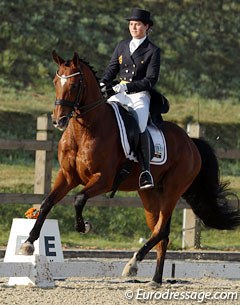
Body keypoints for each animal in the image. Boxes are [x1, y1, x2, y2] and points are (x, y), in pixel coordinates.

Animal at [19, 50, 240, 284]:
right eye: (55, 81)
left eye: (75, 84)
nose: (58, 120)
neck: (85, 129)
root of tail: (191, 142)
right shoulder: (68, 176)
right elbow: (47, 203)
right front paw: (28, 243)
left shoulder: (104, 180)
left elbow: (78, 199)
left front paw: (83, 226)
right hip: (149, 194)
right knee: (162, 233)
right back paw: (155, 279)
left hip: (172, 191)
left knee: (160, 230)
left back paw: (133, 264)